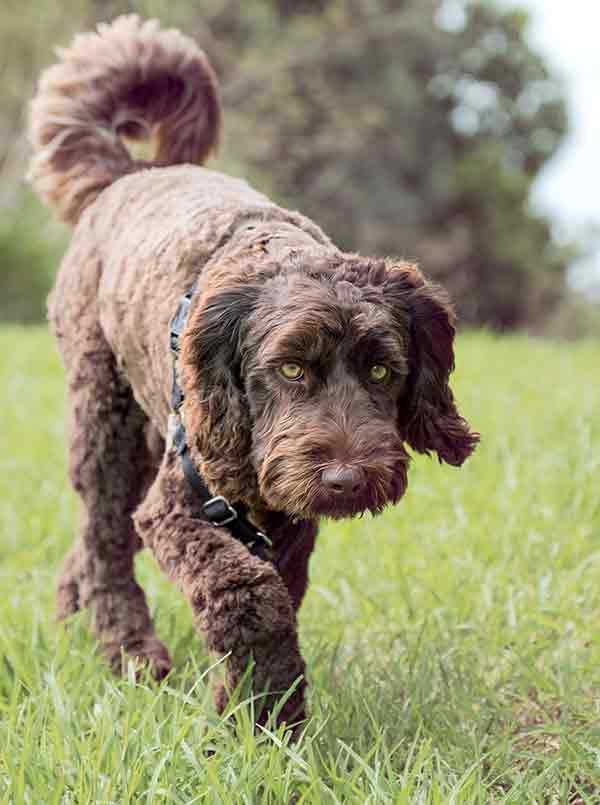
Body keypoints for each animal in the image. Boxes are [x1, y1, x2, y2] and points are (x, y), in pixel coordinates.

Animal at [28, 14, 478, 728]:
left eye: (383, 372)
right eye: (290, 368)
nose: (347, 481)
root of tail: (134, 172)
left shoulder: (291, 515)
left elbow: (279, 590)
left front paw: (256, 705)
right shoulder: (182, 506)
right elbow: (246, 592)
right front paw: (263, 715)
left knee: (100, 534)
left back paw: (73, 619)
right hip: (104, 415)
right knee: (104, 536)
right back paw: (129, 652)